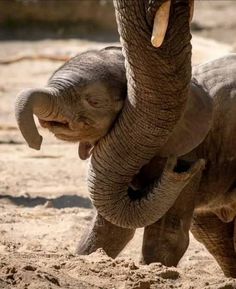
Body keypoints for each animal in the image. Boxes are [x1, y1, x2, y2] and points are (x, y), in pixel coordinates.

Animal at [15, 47, 236, 276]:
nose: (180, 168)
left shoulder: (188, 148)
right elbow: (111, 229)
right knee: (212, 234)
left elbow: (166, 234)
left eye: (94, 102)